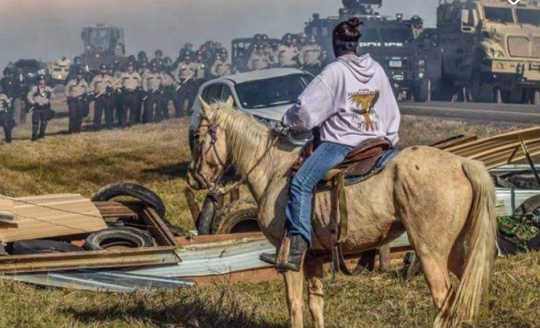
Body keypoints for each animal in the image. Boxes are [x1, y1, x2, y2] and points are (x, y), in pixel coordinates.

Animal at [187, 98, 498, 328]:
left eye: (198, 136)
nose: (193, 177)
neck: (274, 169)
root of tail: (463, 164)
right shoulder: (313, 257)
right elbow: (316, 305)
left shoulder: (288, 256)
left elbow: (294, 305)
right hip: (458, 250)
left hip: (430, 251)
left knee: (444, 299)